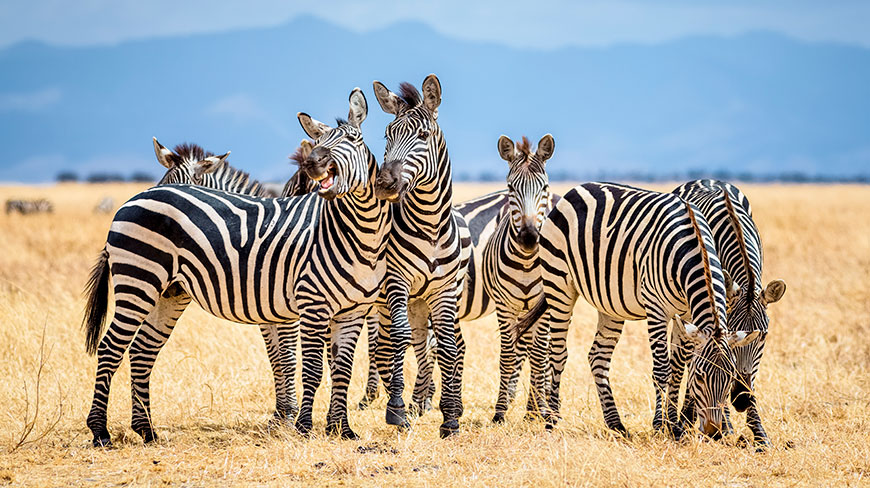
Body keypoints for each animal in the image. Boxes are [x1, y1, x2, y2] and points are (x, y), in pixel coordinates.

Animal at [81, 88, 390, 445]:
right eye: (319, 142)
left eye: (354, 138)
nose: (315, 163)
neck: (357, 232)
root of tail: (129, 202)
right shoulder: (305, 306)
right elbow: (299, 363)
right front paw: (297, 423)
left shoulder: (346, 310)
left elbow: (336, 366)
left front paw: (339, 429)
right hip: (139, 281)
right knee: (110, 348)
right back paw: (100, 431)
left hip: (169, 292)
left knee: (142, 350)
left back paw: (146, 430)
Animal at [369, 75, 471, 437]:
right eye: (387, 135)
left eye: (423, 136)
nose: (384, 184)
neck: (430, 225)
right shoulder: (396, 282)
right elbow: (400, 340)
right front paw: (397, 409)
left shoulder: (443, 291)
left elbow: (449, 346)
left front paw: (450, 417)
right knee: (405, 343)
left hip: (426, 299)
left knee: (433, 345)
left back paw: (429, 401)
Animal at [483, 134, 557, 424]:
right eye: (511, 188)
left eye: (544, 187)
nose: (529, 238)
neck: (526, 262)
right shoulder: (504, 307)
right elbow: (507, 355)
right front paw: (500, 411)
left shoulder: (544, 308)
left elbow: (539, 357)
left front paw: (539, 411)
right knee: (520, 348)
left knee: (546, 353)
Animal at [515, 182, 761, 438]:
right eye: (700, 377)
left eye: (730, 377)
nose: (714, 432)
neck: (694, 248)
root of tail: (576, 189)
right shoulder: (656, 309)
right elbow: (663, 369)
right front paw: (661, 425)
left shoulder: (685, 314)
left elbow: (677, 368)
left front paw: (674, 426)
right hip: (559, 285)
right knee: (558, 353)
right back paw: (552, 420)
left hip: (609, 304)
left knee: (598, 356)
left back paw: (615, 423)